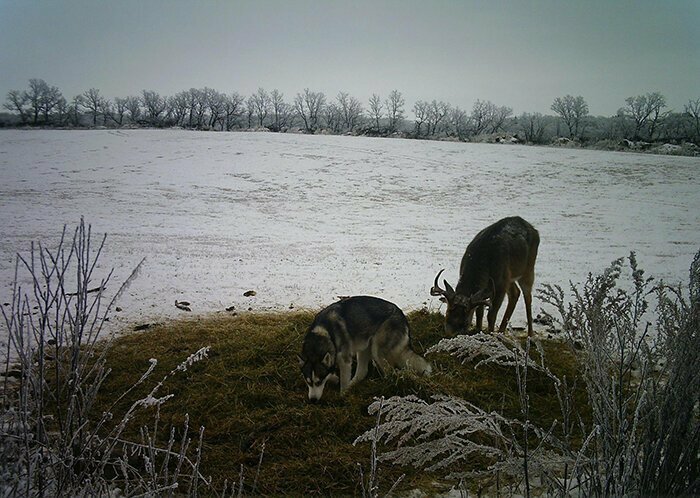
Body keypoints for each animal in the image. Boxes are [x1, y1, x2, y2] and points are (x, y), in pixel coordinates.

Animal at [296, 296, 430, 400]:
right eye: (308, 382)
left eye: (319, 382)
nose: (313, 400)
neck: (324, 332)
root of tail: (402, 315)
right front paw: (335, 379)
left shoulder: (345, 360)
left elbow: (343, 381)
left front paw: (342, 395)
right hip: (364, 348)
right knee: (362, 372)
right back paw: (353, 385)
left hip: (377, 352)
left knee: (391, 372)